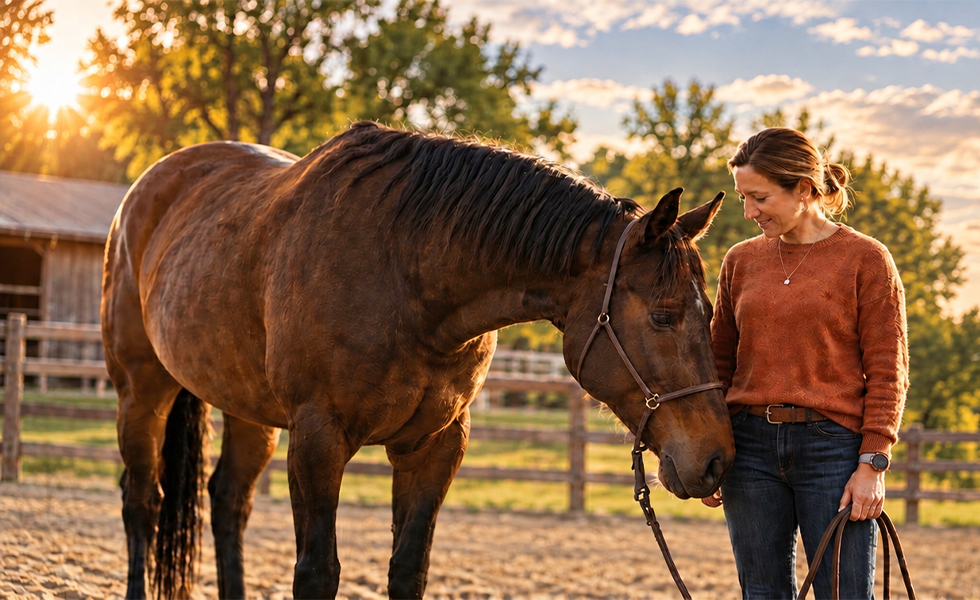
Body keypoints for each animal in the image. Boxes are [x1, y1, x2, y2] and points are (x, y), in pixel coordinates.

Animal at [101, 121, 735, 599]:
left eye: (709, 313)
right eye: (663, 315)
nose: (716, 459)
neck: (404, 271)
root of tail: (148, 187)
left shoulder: (436, 443)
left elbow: (408, 569)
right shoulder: (317, 437)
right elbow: (317, 573)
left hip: (247, 411)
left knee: (229, 502)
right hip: (141, 392)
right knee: (141, 503)